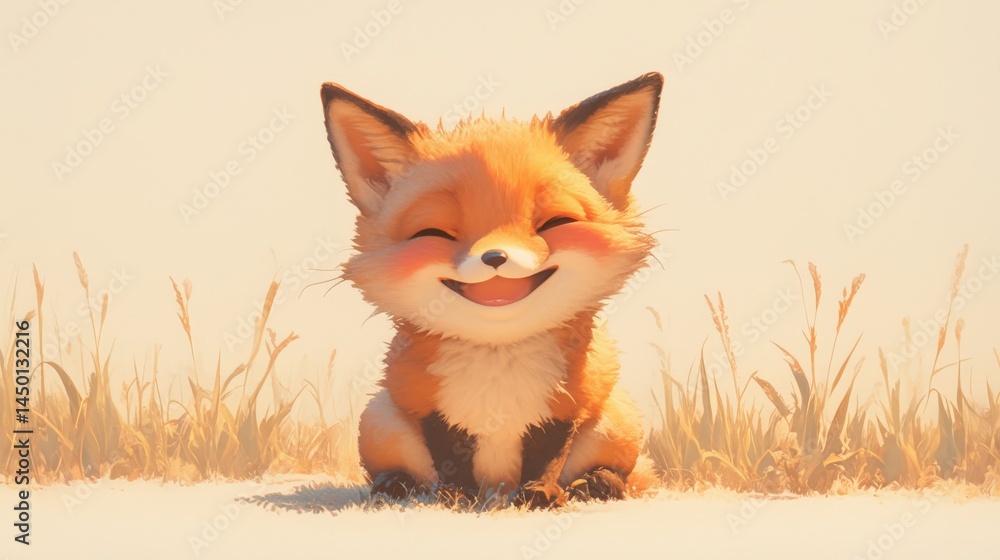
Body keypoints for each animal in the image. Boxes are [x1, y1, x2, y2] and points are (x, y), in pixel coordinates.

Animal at [319, 72, 663, 508]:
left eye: (554, 223)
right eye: (434, 232)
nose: (495, 256)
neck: (500, 359)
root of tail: (497, 485)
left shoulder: (568, 404)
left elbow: (549, 455)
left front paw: (539, 493)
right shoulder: (427, 404)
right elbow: (449, 455)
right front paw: (456, 497)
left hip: (615, 421)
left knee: (618, 471)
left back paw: (597, 483)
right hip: (380, 419)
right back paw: (398, 485)